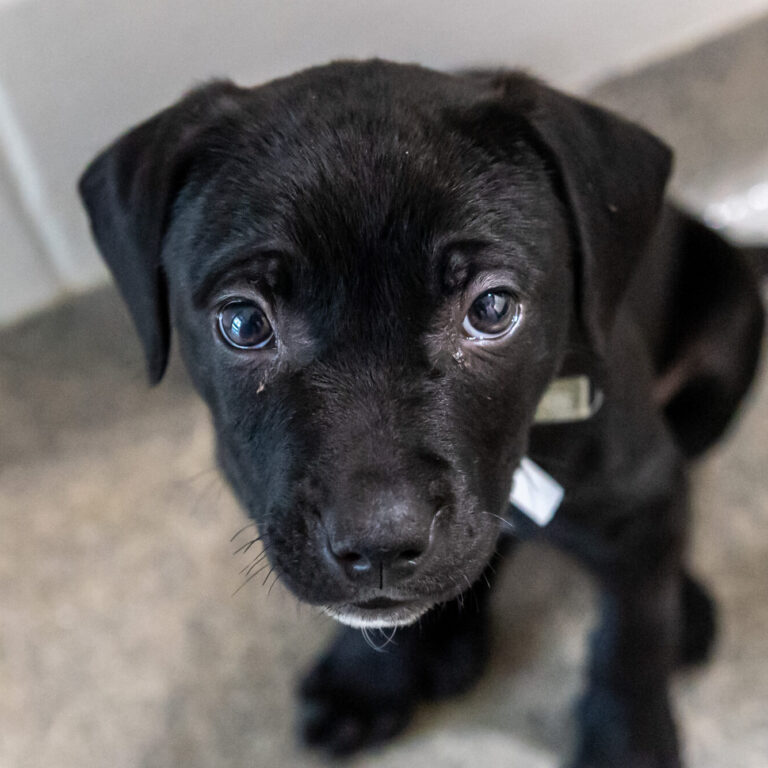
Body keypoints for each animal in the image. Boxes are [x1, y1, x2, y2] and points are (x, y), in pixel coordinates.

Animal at [78, 61, 760, 768]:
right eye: (243, 322)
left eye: (492, 309)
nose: (380, 543)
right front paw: (368, 677)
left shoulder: (641, 487)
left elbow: (633, 630)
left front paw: (629, 740)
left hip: (727, 346)